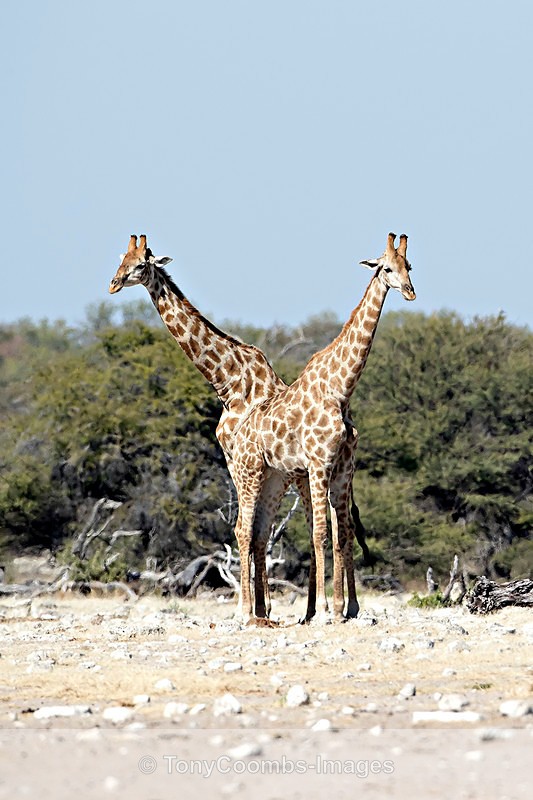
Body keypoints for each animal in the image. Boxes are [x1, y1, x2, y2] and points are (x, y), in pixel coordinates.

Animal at [108, 234, 369, 622]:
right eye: (120, 260)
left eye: (140, 265)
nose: (113, 284)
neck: (228, 382)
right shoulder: (242, 462)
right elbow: (253, 532)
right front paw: (260, 607)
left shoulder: (243, 462)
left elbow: (247, 531)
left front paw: (253, 609)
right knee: (336, 527)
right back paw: (321, 608)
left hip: (309, 476)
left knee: (328, 528)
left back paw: (324, 608)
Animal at [231, 232, 415, 621]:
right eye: (386, 268)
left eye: (409, 265)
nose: (410, 292)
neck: (340, 389)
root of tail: (239, 434)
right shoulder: (318, 464)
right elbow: (320, 534)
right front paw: (324, 611)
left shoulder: (344, 467)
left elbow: (344, 534)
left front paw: (348, 607)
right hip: (248, 472)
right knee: (242, 529)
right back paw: (245, 611)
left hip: (273, 478)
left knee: (258, 531)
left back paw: (261, 610)